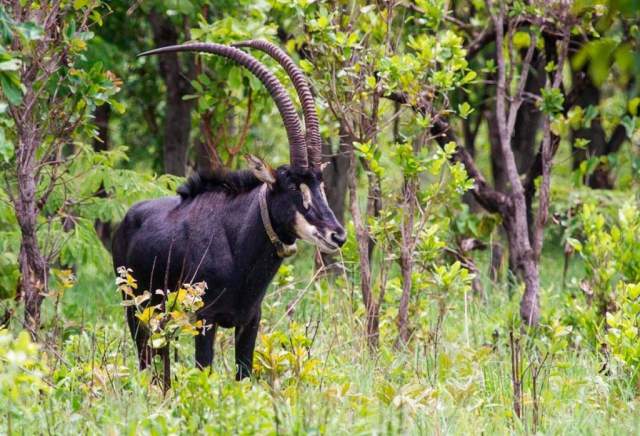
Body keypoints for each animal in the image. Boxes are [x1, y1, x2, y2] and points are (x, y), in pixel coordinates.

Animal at [112, 42, 348, 380]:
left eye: (320, 184)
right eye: (293, 186)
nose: (337, 235)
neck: (237, 242)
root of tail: (125, 221)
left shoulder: (250, 320)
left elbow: (243, 377)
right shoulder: (204, 319)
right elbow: (204, 374)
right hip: (138, 311)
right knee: (148, 363)